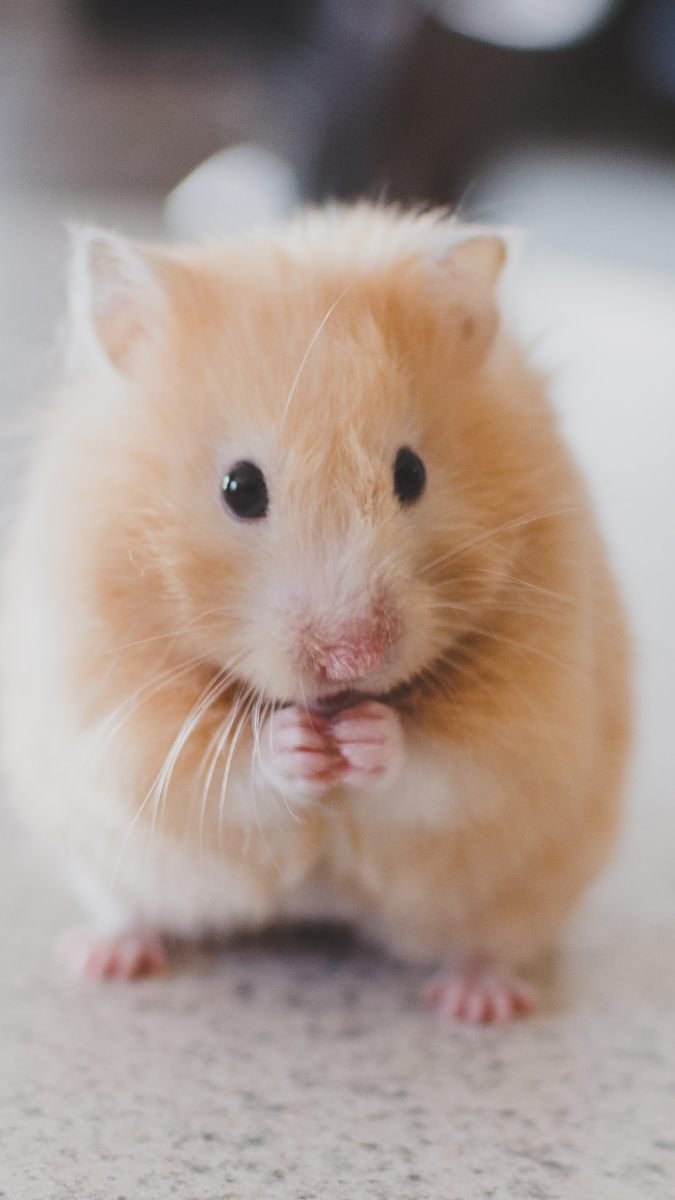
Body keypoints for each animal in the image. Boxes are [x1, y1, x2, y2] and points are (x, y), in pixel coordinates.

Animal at [0, 204, 630, 1021]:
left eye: (411, 473)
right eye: (239, 487)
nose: (351, 658)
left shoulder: (533, 718)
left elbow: (447, 765)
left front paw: (365, 738)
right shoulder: (115, 716)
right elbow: (222, 767)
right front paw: (299, 743)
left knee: (488, 939)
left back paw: (479, 1002)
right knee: (131, 906)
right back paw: (103, 958)